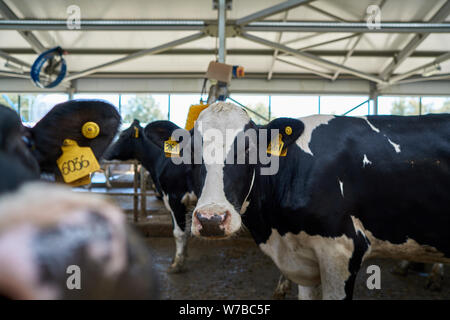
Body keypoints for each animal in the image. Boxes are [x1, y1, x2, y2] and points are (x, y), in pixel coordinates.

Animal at [103, 120, 195, 272]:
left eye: (123, 135)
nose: (106, 152)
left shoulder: (175, 198)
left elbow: (179, 232)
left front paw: (177, 263)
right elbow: (187, 230)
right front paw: (183, 256)